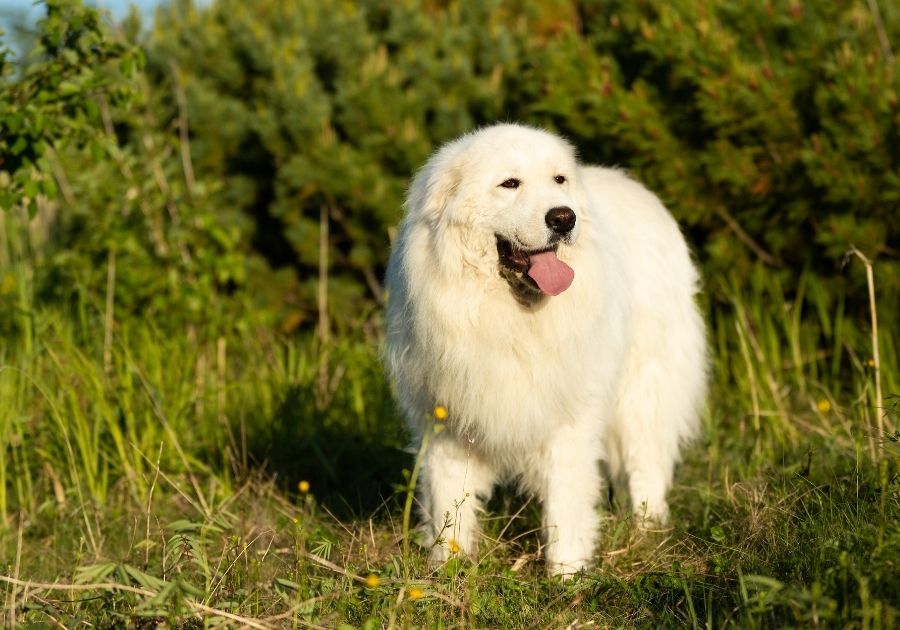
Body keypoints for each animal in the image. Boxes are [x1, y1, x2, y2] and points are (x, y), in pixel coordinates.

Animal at [384, 123, 708, 576]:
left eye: (559, 180)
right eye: (510, 183)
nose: (563, 217)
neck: (511, 318)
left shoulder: (569, 418)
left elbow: (565, 502)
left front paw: (566, 575)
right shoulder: (447, 420)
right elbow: (450, 505)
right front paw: (448, 571)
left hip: (643, 388)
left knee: (647, 462)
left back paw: (648, 529)